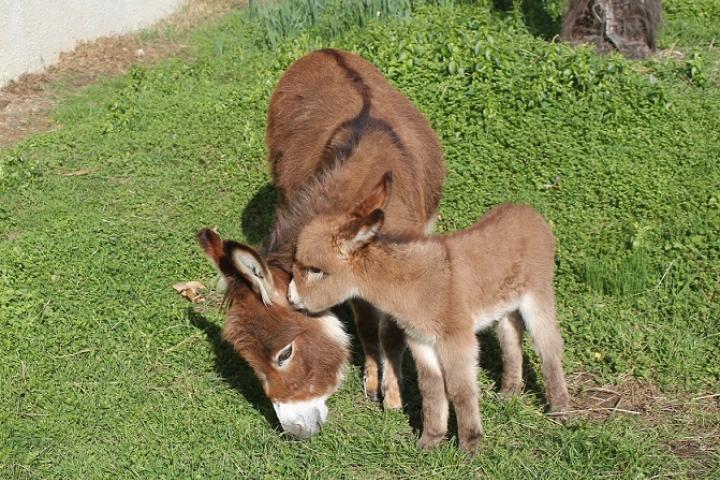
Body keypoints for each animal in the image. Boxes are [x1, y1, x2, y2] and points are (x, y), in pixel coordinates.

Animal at [286, 174, 568, 452]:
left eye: (316, 270)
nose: (291, 298)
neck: (413, 287)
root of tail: (527, 210)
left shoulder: (456, 339)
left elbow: (460, 389)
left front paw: (469, 446)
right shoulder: (420, 340)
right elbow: (432, 389)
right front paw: (430, 441)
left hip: (538, 295)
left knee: (549, 347)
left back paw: (559, 411)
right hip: (506, 306)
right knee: (511, 339)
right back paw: (509, 393)